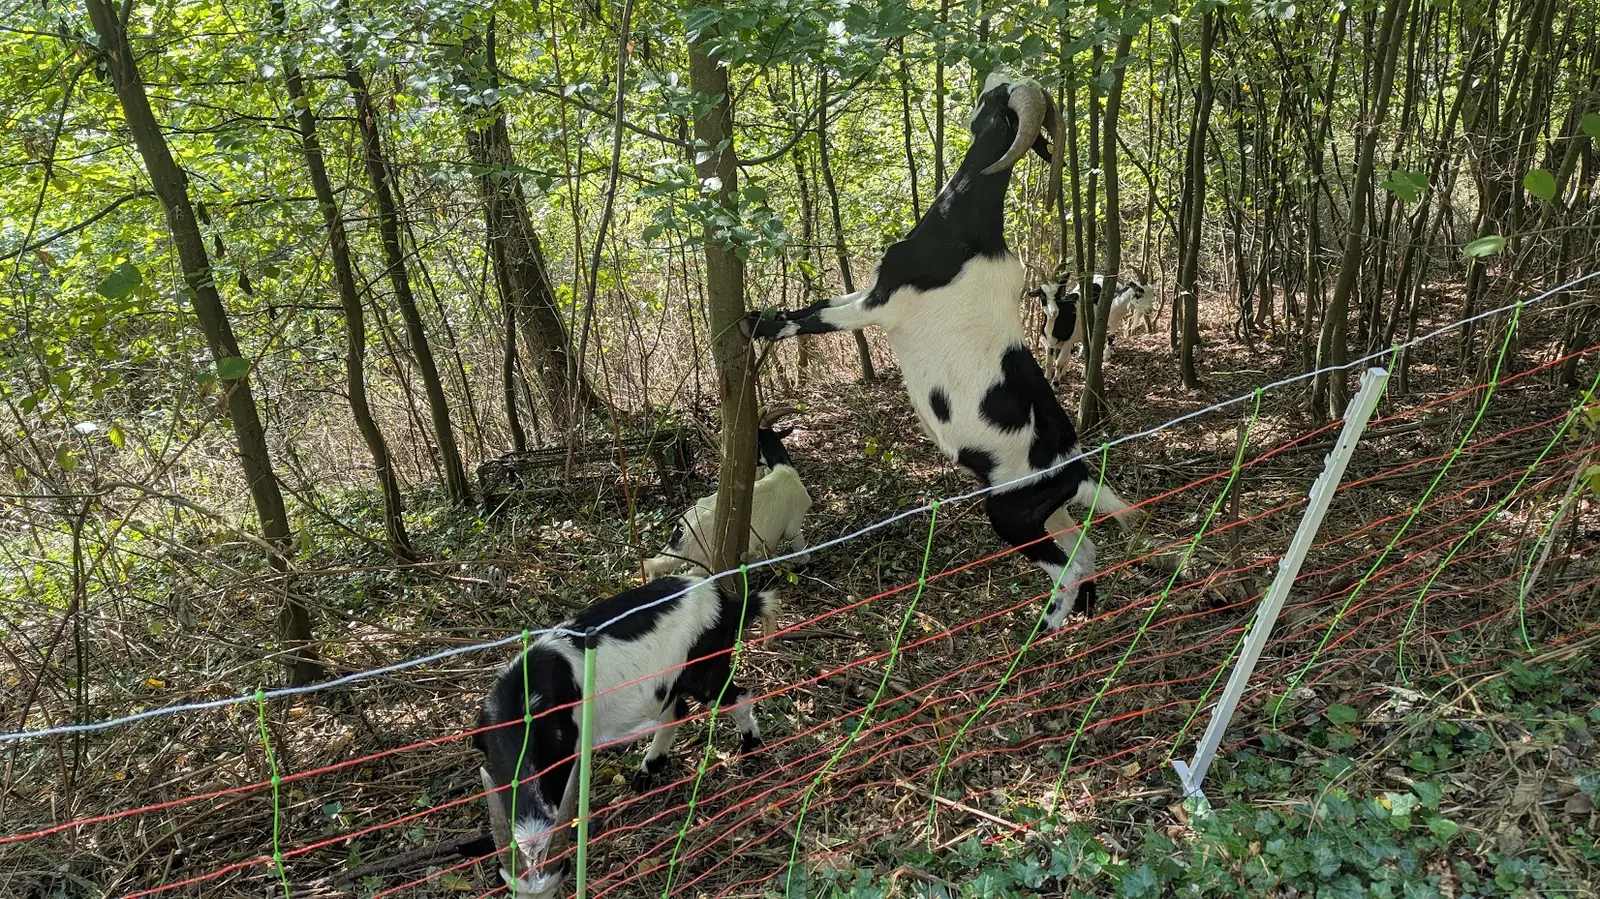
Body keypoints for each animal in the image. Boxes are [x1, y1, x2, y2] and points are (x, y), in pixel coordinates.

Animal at [473, 574, 779, 898]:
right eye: (511, 891)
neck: (522, 703)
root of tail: (726, 600)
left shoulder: (565, 752)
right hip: (668, 683)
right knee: (675, 711)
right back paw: (647, 772)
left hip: (705, 667)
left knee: (736, 698)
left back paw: (751, 749)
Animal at [643, 407, 812, 579]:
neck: (783, 468)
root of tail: (686, 534)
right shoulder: (794, 526)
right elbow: (804, 556)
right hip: (707, 563)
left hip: (672, 547)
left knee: (656, 563)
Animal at [743, 72, 1143, 630]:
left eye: (996, 101)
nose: (989, 79)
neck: (966, 233)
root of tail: (1075, 470)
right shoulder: (868, 292)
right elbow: (822, 302)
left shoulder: (879, 306)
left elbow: (814, 321)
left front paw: (756, 323)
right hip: (1048, 513)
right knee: (1085, 552)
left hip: (1011, 515)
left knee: (1068, 569)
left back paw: (1041, 630)